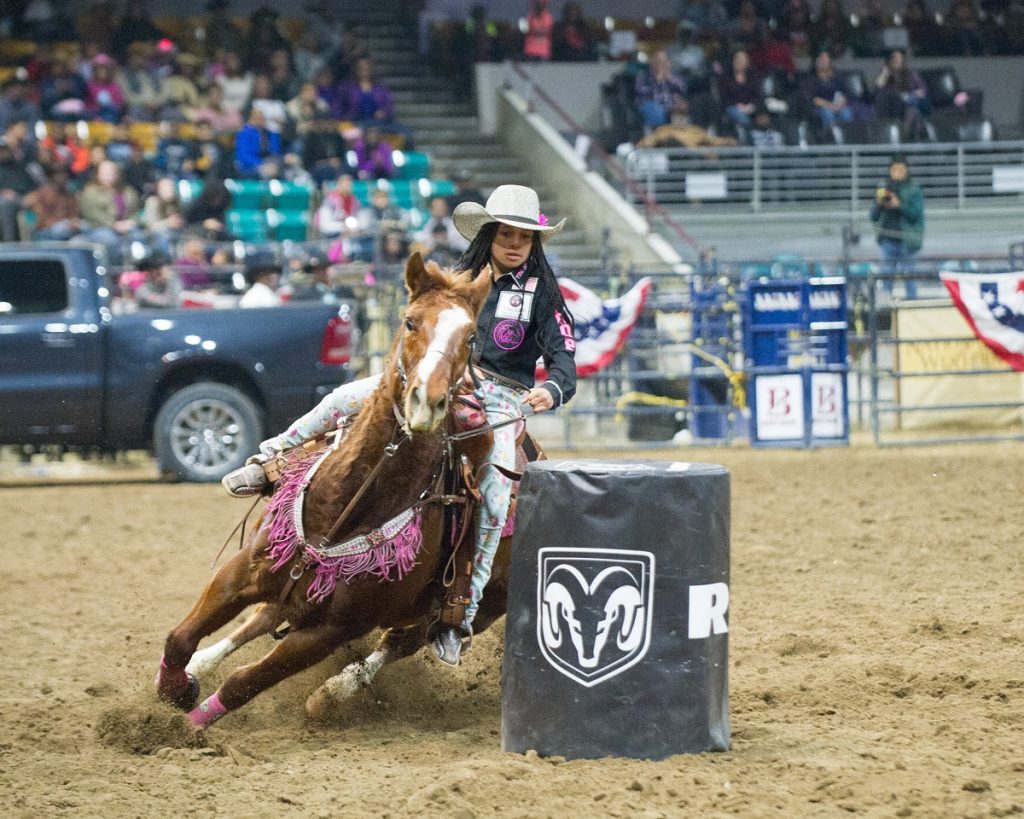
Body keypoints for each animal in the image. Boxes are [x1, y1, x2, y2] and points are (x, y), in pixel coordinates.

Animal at [154, 257, 516, 728]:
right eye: (410, 321)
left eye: (471, 337)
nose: (427, 401)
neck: (346, 505)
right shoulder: (244, 570)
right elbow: (181, 637)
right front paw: (175, 689)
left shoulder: (331, 630)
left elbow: (244, 682)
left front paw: (180, 728)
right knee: (264, 616)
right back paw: (206, 662)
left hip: (481, 608)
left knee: (399, 643)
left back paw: (334, 692)